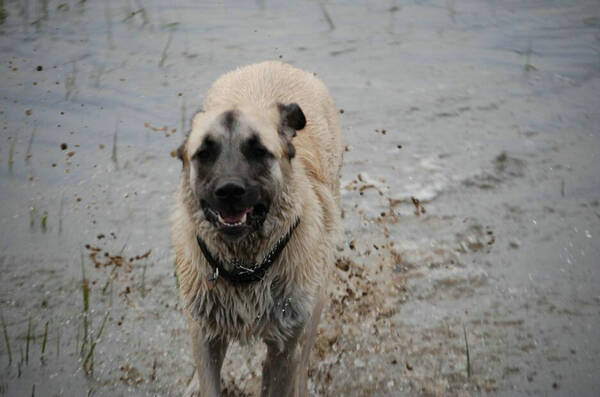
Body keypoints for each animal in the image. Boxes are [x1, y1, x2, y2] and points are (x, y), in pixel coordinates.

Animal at [172, 60, 342, 394]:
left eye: (258, 151)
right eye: (205, 153)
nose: (229, 190)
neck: (245, 266)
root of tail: (276, 64)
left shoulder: (286, 340)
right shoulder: (205, 335)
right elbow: (209, 382)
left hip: (310, 311)